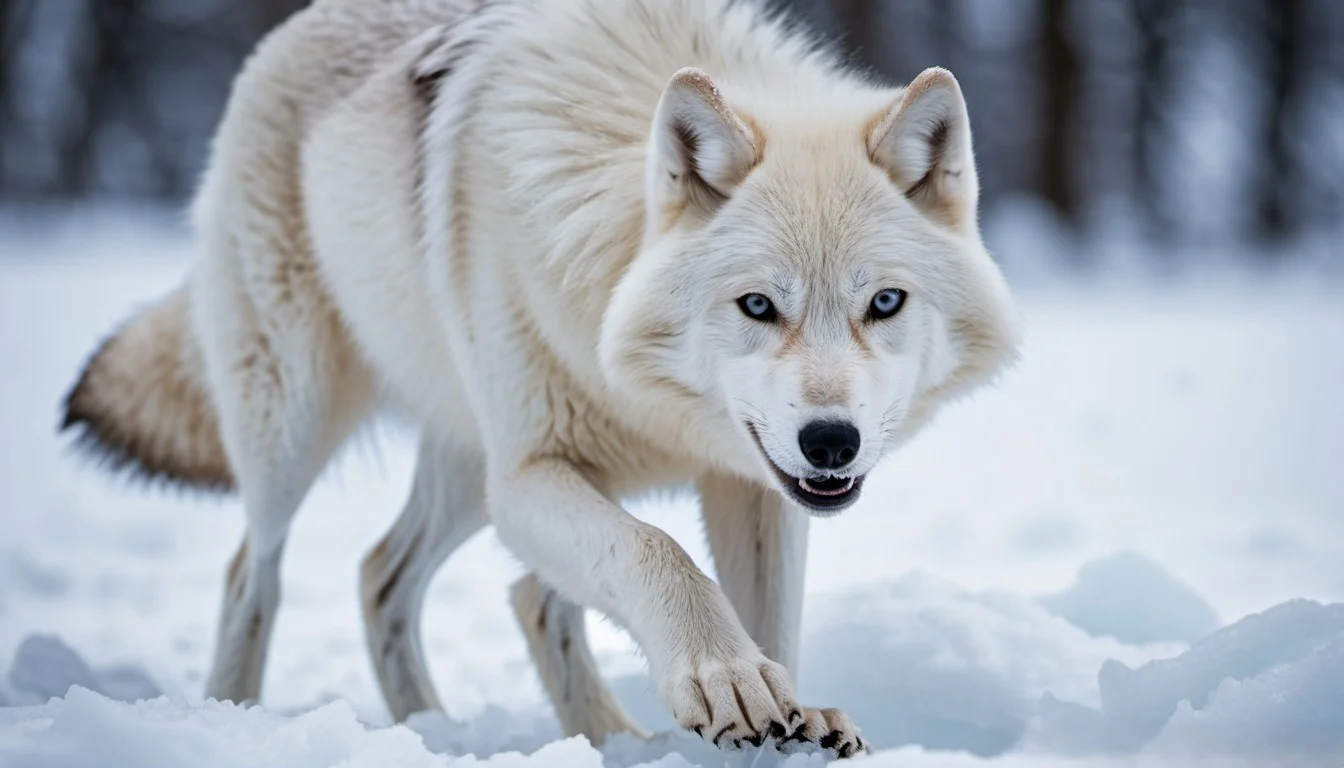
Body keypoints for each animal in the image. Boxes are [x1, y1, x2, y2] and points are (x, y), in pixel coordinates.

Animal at [60, 0, 1018, 757]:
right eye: (757, 306)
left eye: (884, 303)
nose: (831, 443)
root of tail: (296, 25)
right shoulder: (529, 474)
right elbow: (658, 553)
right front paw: (727, 678)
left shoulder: (751, 482)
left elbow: (768, 615)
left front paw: (794, 712)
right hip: (304, 427)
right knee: (253, 575)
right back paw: (239, 715)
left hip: (467, 470)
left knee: (407, 579)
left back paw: (509, 735)